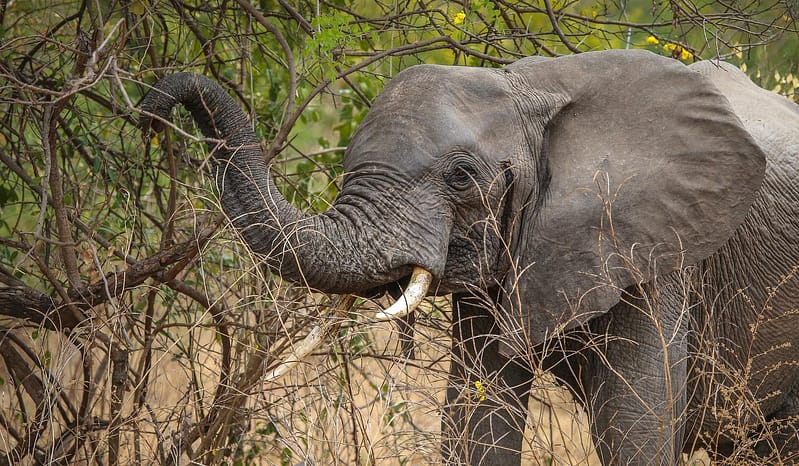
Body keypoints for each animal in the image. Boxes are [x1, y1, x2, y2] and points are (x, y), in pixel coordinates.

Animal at [139, 49, 799, 465]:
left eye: (460, 177)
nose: (149, 112)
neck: (532, 91)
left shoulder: (653, 247)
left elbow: (635, 429)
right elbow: (477, 420)